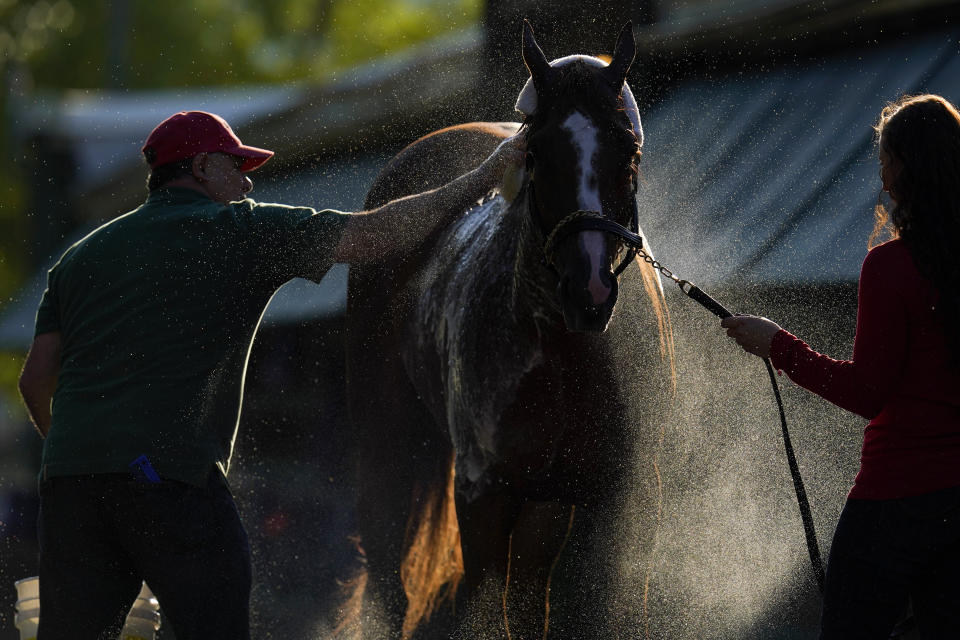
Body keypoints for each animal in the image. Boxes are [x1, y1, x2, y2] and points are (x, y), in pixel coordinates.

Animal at [344, 21, 676, 640]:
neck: (562, 354)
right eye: (537, 152)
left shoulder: (609, 504)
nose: (588, 290)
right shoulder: (484, 499)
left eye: (629, 152)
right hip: (388, 455)